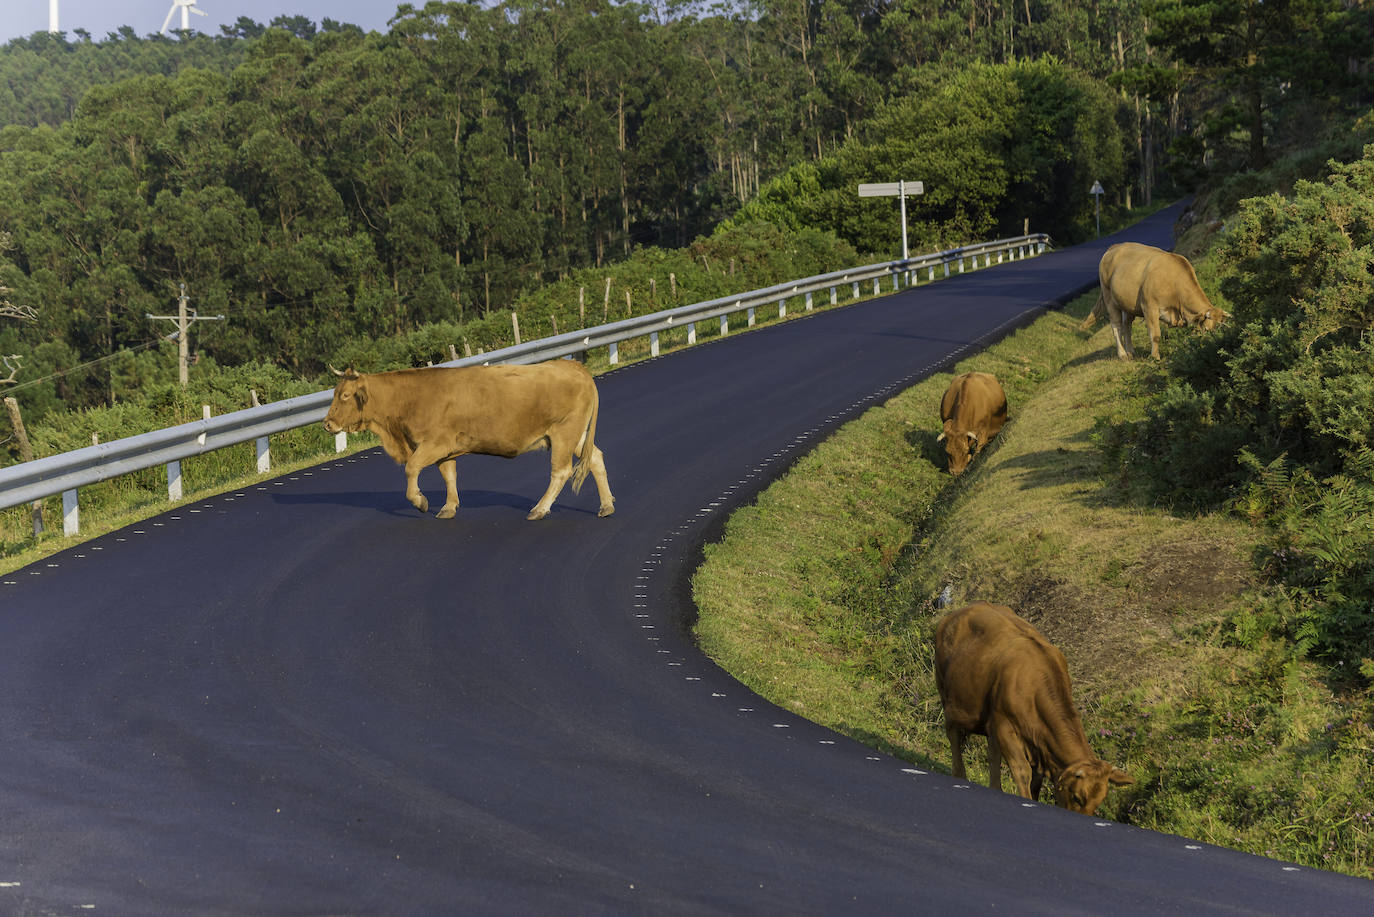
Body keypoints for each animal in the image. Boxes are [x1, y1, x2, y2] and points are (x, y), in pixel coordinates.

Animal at [321, 360, 612, 519]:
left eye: (344, 396)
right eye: (334, 393)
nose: (327, 424)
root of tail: (571, 365)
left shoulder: (434, 443)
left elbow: (411, 468)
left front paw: (420, 501)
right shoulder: (445, 450)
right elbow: (449, 475)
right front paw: (449, 506)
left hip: (564, 433)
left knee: (561, 471)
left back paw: (540, 509)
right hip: (576, 435)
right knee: (596, 458)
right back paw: (606, 505)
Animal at [934, 604, 1137, 813]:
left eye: (1098, 802)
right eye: (1077, 797)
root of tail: (957, 613)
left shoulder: (1030, 740)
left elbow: (1034, 778)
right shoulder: (1004, 725)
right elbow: (1022, 770)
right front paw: (1026, 799)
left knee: (991, 755)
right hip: (946, 693)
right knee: (953, 736)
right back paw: (959, 775)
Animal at [1077, 241, 1231, 360]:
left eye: (1220, 328)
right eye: (1207, 329)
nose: (1216, 348)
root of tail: (1114, 247)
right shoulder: (1149, 307)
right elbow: (1155, 334)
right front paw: (1155, 357)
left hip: (1128, 304)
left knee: (1127, 326)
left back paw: (1131, 351)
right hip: (1109, 299)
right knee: (1116, 326)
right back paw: (1123, 355)